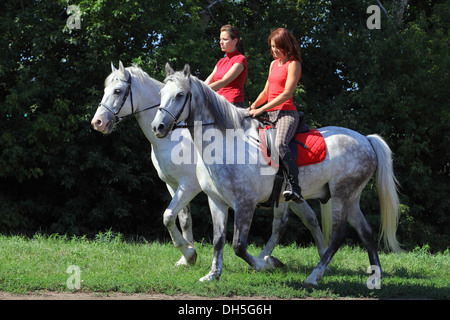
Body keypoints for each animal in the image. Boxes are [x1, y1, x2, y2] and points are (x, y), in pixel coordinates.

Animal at [90, 62, 326, 276]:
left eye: (118, 91)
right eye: (106, 89)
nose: (98, 122)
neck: (176, 137)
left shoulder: (189, 186)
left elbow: (168, 216)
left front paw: (188, 252)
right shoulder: (172, 185)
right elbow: (183, 219)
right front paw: (187, 257)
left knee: (292, 222)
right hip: (287, 195)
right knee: (303, 219)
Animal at [151, 63, 400, 286]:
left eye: (180, 94)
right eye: (161, 93)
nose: (158, 127)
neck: (225, 144)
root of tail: (366, 139)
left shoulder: (245, 203)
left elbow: (238, 246)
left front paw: (267, 263)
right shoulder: (217, 201)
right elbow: (218, 240)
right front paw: (213, 275)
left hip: (341, 195)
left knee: (338, 236)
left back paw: (314, 277)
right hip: (351, 198)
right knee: (366, 232)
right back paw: (375, 277)